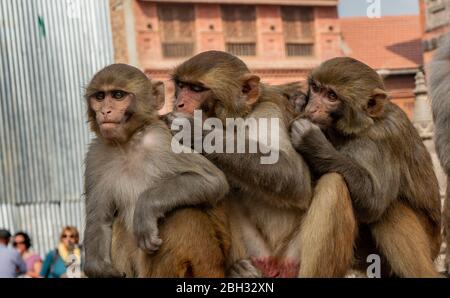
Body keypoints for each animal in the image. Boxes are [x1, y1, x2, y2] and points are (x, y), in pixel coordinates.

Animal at [83, 64, 232, 278]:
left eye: (118, 95)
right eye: (100, 96)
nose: (105, 111)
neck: (128, 143)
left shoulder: (162, 140)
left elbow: (213, 180)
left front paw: (146, 207)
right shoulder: (95, 157)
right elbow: (100, 220)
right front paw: (99, 269)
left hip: (208, 262)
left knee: (182, 214)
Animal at [169, 51, 356, 278]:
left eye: (197, 89)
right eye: (181, 85)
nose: (178, 103)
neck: (238, 119)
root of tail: (275, 264)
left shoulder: (267, 113)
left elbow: (294, 176)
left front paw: (195, 132)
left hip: (293, 258)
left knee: (333, 185)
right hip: (257, 252)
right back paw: (238, 269)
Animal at [290, 57, 442, 278]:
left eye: (331, 96)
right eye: (316, 88)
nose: (313, 107)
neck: (362, 124)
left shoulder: (384, 137)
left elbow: (374, 202)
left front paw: (312, 142)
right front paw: (298, 101)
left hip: (431, 243)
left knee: (388, 208)